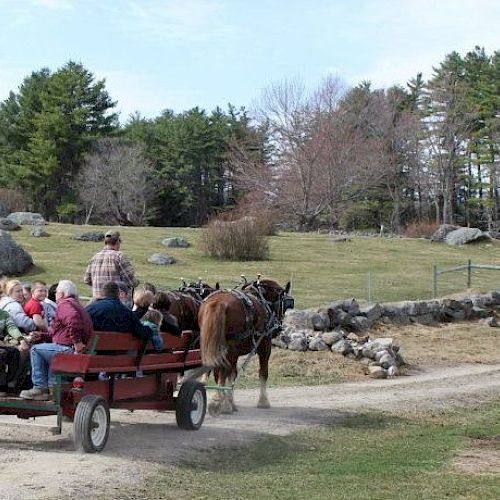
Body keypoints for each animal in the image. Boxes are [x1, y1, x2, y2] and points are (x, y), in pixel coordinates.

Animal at [199, 280, 292, 416]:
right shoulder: (265, 346)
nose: (278, 327)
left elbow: (232, 374)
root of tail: (218, 302)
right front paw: (263, 401)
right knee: (222, 372)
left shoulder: (235, 353)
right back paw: (217, 402)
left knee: (218, 371)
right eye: (283, 305)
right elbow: (263, 373)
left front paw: (230, 402)